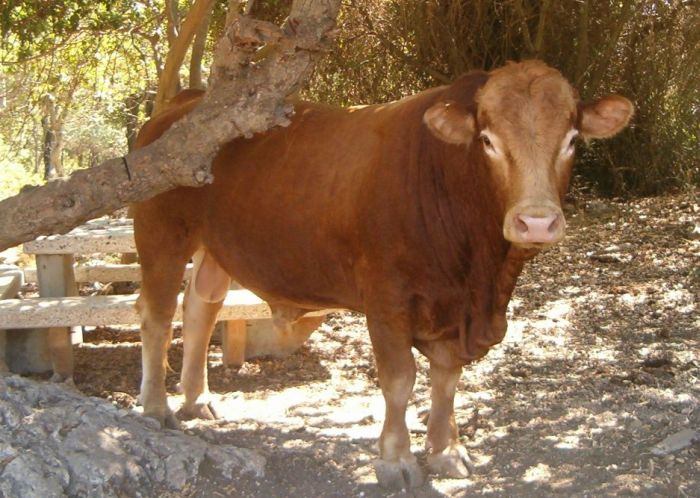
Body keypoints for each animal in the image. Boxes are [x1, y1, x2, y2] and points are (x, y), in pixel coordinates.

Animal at [133, 60, 636, 488]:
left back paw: (196, 399)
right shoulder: (387, 299)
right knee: (157, 317)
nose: (536, 221)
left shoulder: (451, 311)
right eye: (488, 140)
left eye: (571, 139)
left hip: (214, 249)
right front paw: (397, 459)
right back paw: (157, 408)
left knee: (201, 309)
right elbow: (400, 379)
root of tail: (186, 103)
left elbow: (447, 378)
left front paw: (446, 450)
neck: (480, 277)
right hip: (161, 237)